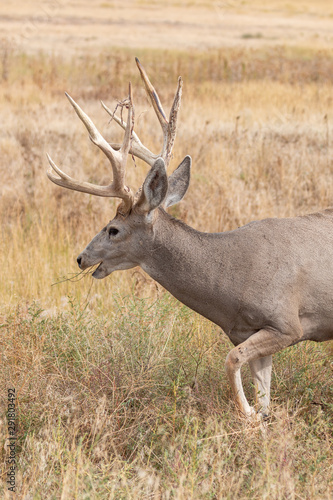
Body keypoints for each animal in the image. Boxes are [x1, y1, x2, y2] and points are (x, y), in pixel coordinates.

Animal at [46, 58, 332, 418]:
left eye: (113, 229)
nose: (81, 258)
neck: (234, 276)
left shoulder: (287, 322)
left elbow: (232, 361)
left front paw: (247, 415)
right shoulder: (250, 331)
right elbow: (264, 395)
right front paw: (260, 416)